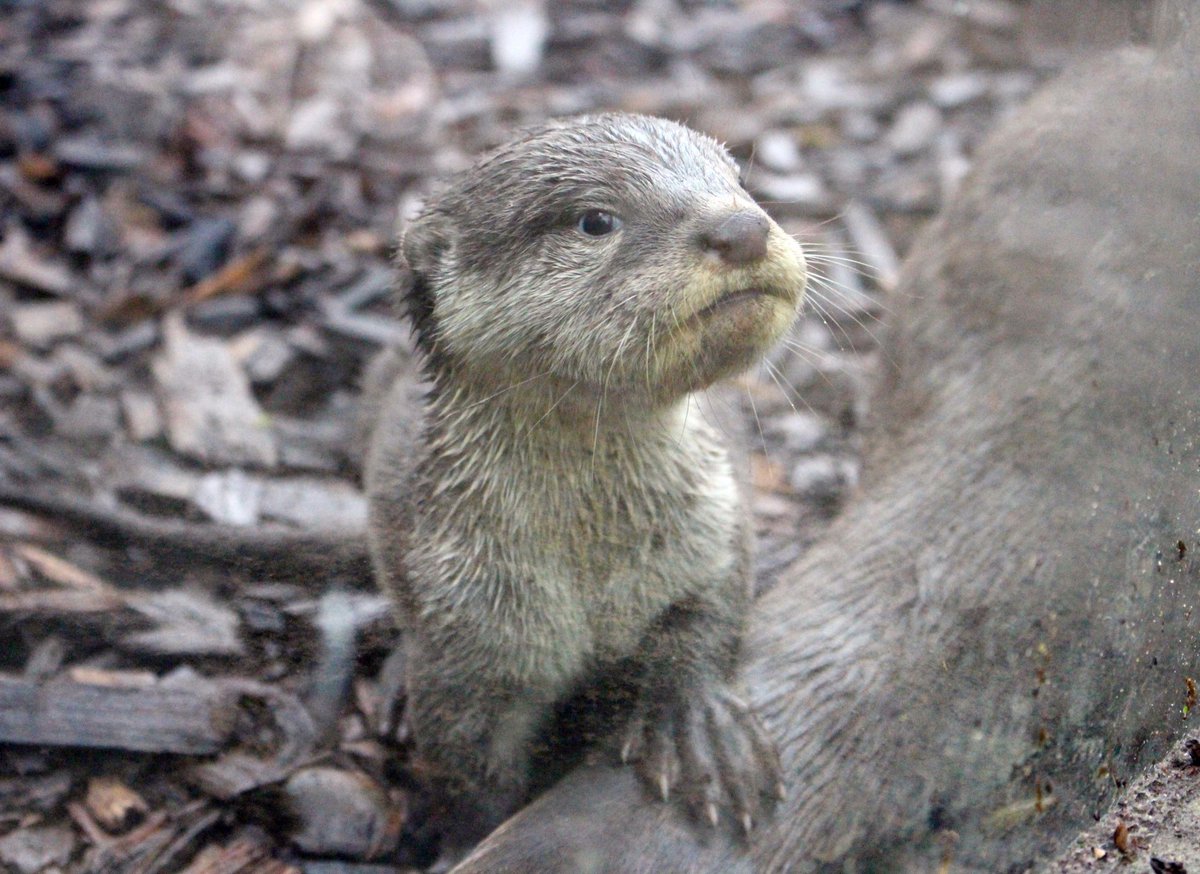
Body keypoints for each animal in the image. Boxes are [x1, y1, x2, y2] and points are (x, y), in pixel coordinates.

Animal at [364, 114, 807, 857]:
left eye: (738, 180)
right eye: (595, 219)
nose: (742, 228)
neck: (590, 560)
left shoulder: (713, 516)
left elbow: (710, 611)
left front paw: (698, 725)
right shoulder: (458, 623)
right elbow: (464, 769)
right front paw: (464, 843)